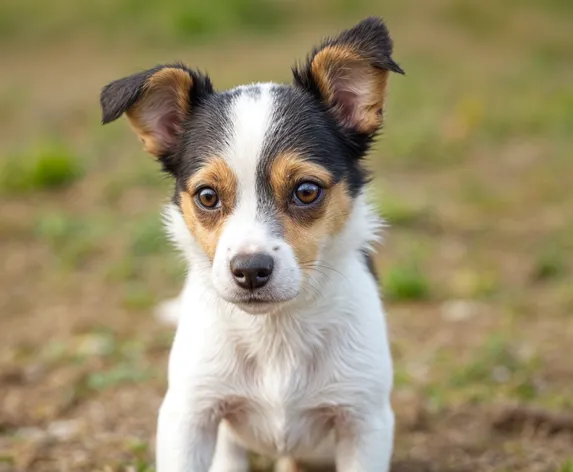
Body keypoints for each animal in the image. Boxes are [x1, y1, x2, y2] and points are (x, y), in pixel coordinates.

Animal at [99, 17, 402, 472]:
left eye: (307, 190)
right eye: (207, 196)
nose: (250, 271)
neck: (274, 332)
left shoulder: (364, 421)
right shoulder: (189, 414)